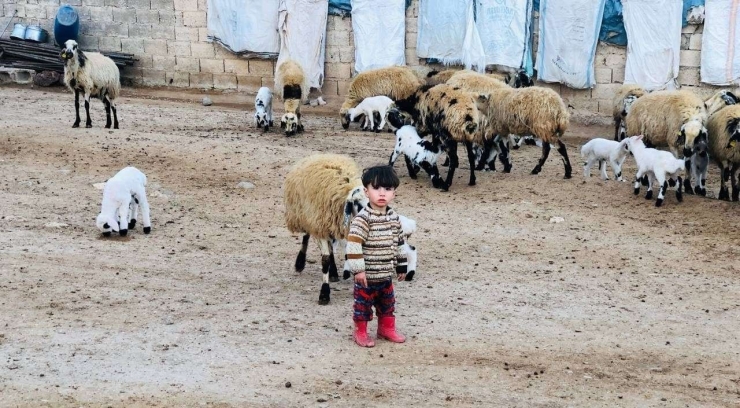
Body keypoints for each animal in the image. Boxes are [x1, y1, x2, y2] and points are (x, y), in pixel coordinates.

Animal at [284, 155, 368, 304]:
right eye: (357, 202)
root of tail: (320, 155)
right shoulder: (320, 226)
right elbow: (325, 260)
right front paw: (324, 293)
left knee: (330, 246)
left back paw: (333, 273)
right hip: (309, 216)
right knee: (307, 235)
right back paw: (300, 263)